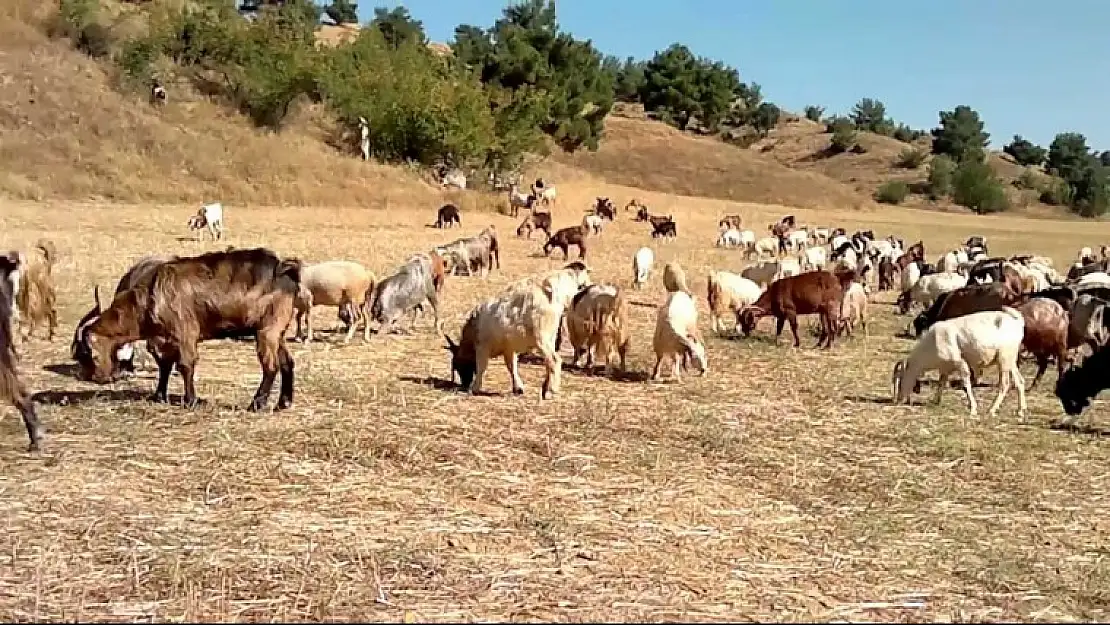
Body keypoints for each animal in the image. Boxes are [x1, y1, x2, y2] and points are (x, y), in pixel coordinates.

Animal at [73, 247, 301, 412]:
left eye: (86, 354)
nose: (94, 378)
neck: (149, 298)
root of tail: (285, 272)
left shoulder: (185, 333)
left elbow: (185, 365)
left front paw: (191, 400)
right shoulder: (163, 339)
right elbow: (165, 364)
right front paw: (159, 396)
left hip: (267, 330)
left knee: (270, 366)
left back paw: (256, 404)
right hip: (276, 331)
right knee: (287, 362)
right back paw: (284, 402)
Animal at [888, 306, 1025, 417]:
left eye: (901, 379)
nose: (898, 400)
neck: (933, 342)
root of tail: (1017, 322)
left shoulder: (960, 363)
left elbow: (966, 383)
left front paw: (973, 409)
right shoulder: (945, 368)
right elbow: (941, 383)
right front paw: (935, 401)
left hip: (1003, 360)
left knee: (1005, 384)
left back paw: (991, 410)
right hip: (1011, 361)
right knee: (1020, 381)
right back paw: (1020, 411)